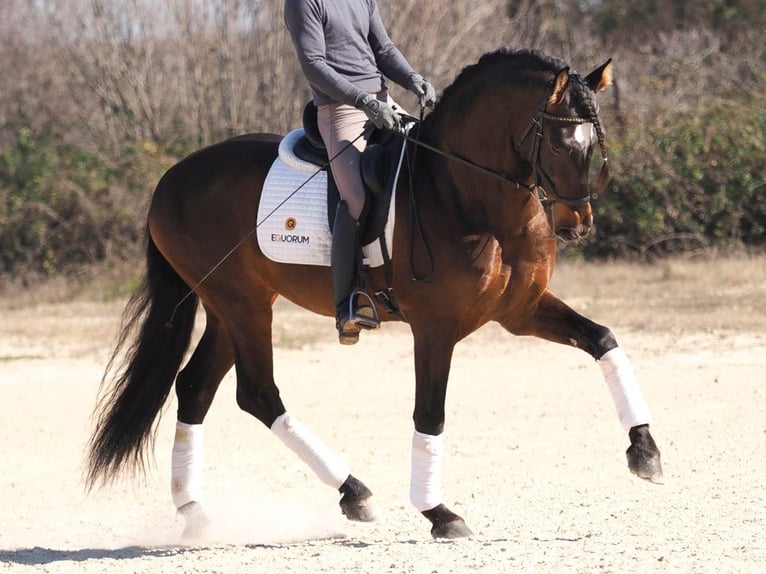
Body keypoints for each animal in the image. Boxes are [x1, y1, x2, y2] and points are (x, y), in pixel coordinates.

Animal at [87, 48, 664, 540]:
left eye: (595, 146)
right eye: (563, 144)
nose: (576, 225)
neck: (464, 192)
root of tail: (171, 178)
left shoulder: (519, 312)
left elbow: (604, 340)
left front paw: (645, 449)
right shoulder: (435, 327)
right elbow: (430, 413)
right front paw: (439, 513)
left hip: (233, 307)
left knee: (195, 388)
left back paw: (196, 512)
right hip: (242, 305)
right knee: (257, 394)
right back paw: (354, 492)